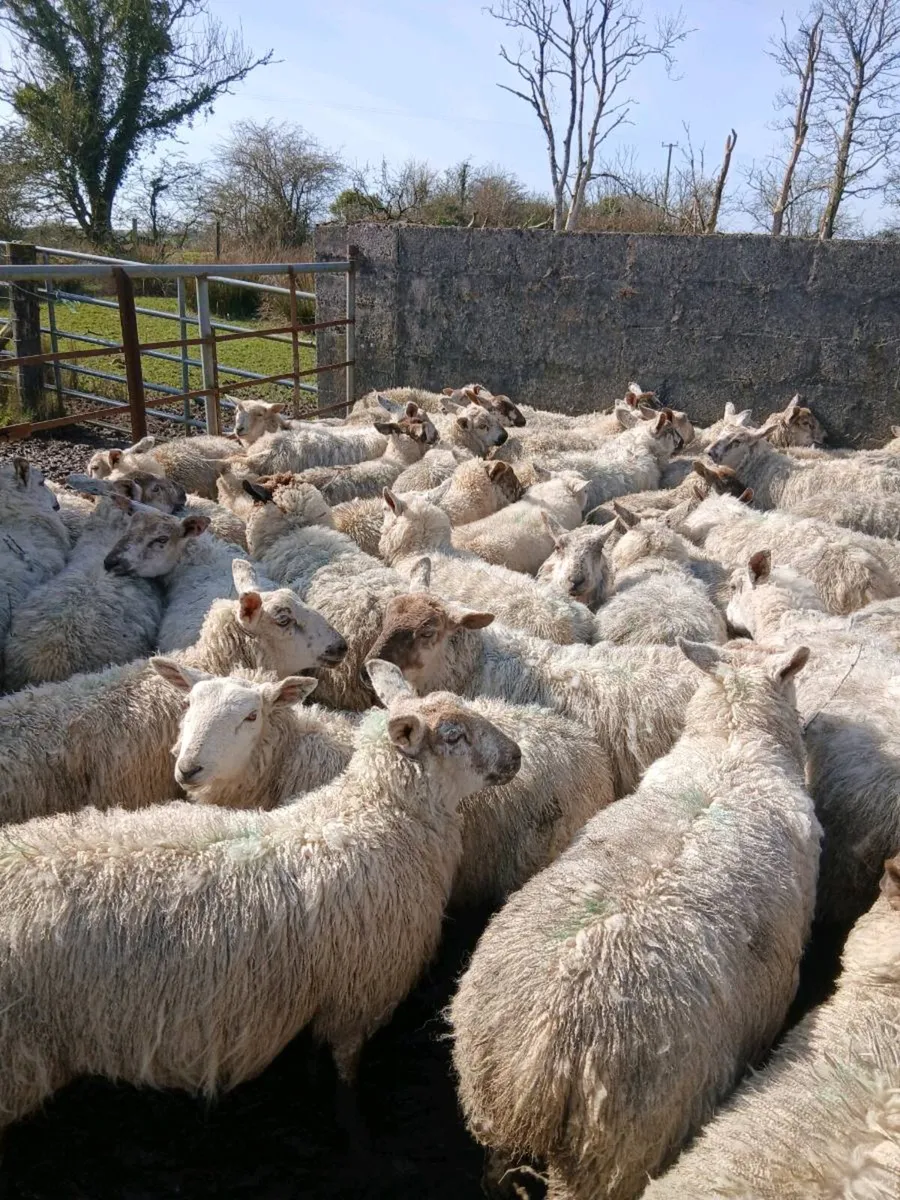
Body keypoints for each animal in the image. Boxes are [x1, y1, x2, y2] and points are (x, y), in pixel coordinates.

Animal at [0, 661, 520, 1132]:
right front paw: (352, 1129)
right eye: (454, 735)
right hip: (19, 1058)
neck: (377, 815)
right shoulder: (358, 995)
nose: (516, 755)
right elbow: (346, 1074)